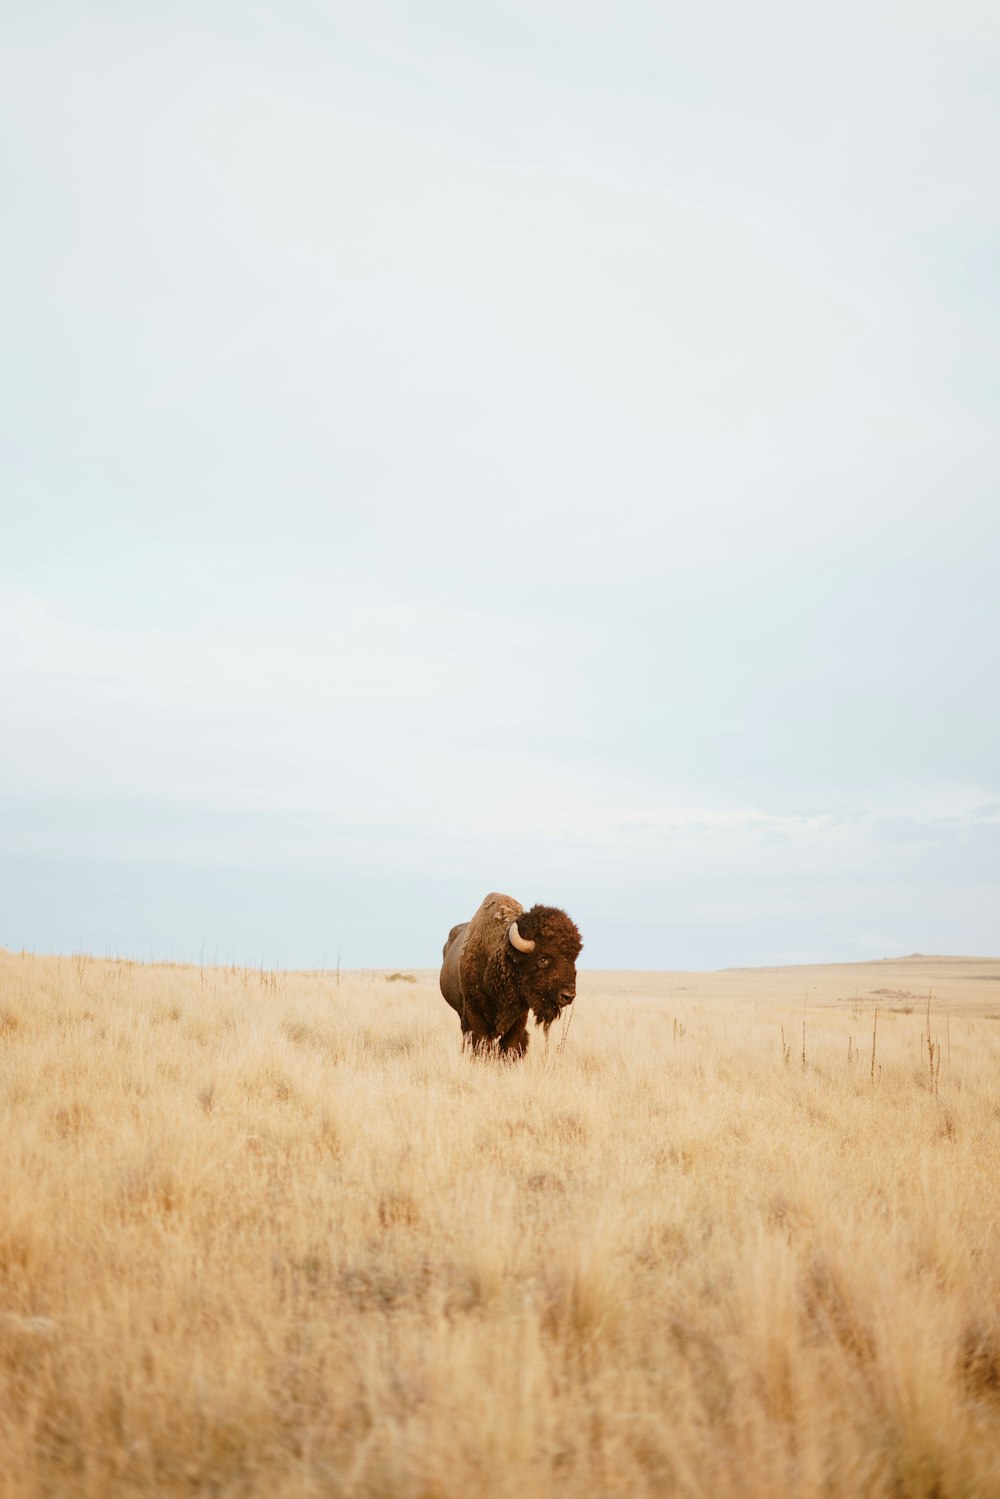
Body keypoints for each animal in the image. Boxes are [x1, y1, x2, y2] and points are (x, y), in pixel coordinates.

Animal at [440, 893, 581, 1061]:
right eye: (542, 959)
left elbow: (510, 1045)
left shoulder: (519, 1017)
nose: (568, 996)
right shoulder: (473, 1011)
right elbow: (482, 1043)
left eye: (573, 958)